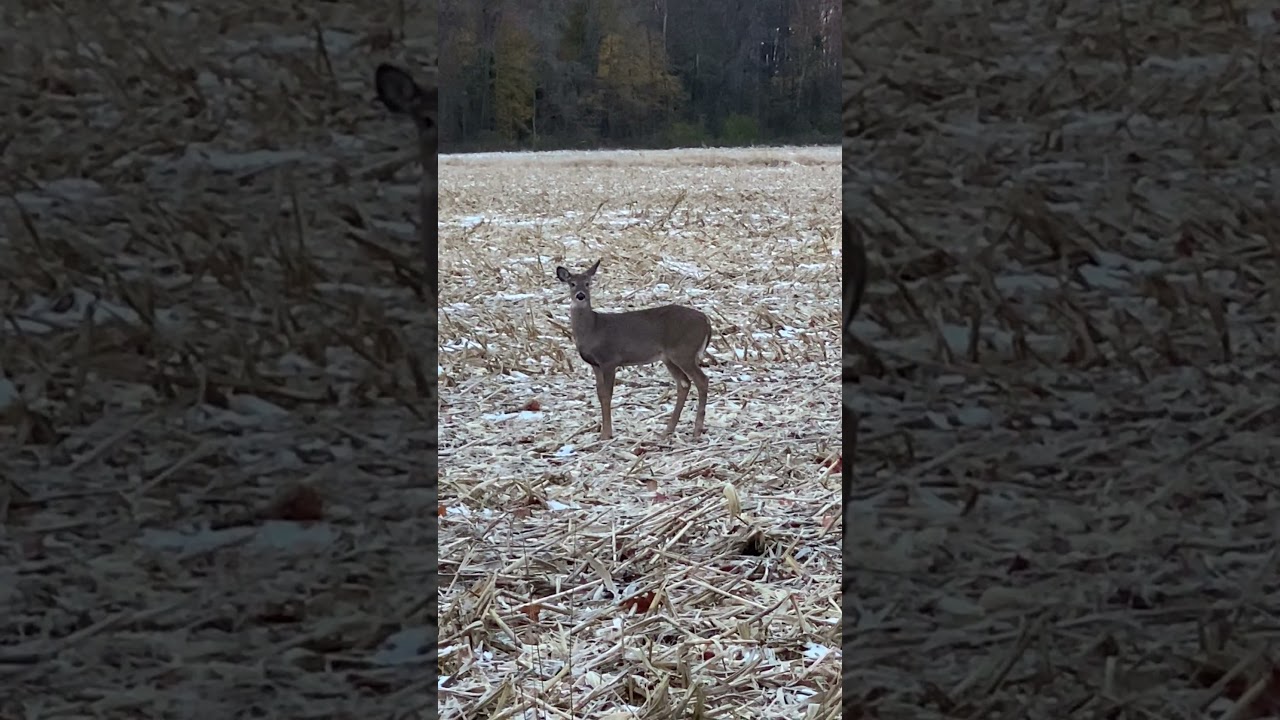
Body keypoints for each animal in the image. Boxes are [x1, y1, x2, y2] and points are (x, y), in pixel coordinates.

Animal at [555, 260, 712, 441]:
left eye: (588, 283)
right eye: (572, 283)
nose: (580, 295)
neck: (593, 329)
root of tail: (706, 320)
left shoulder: (609, 359)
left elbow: (607, 394)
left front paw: (606, 434)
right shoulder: (595, 364)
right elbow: (600, 394)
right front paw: (603, 433)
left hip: (684, 351)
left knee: (702, 380)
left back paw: (696, 431)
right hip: (669, 357)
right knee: (684, 383)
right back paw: (667, 430)